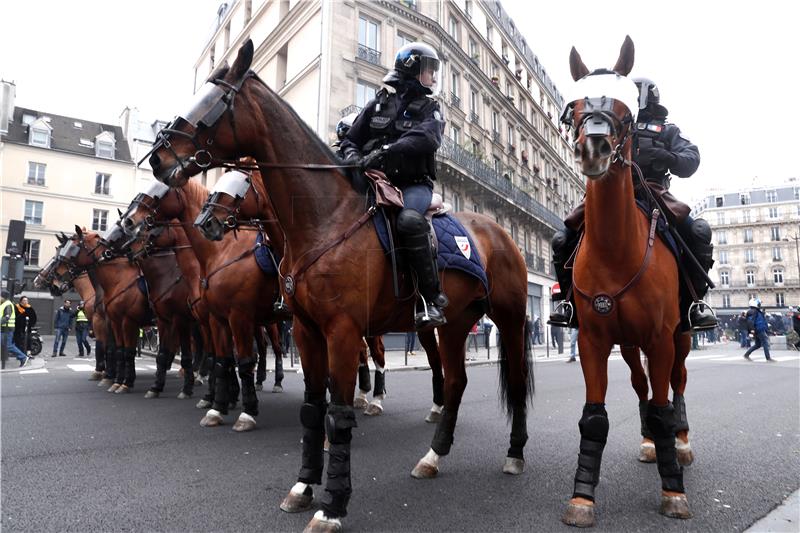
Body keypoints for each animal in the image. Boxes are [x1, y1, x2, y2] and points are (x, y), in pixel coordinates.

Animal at [122, 177, 288, 430]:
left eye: (161, 190)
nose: (129, 222)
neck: (221, 252)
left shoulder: (237, 316)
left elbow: (241, 361)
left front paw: (245, 411)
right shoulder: (212, 319)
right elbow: (219, 360)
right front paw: (217, 404)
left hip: (273, 323)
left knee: (277, 349)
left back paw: (277, 382)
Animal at [145, 39, 532, 528]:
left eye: (214, 102)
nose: (158, 157)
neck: (325, 219)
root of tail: (501, 231)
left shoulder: (343, 332)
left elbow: (340, 412)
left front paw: (332, 505)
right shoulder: (307, 331)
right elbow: (314, 409)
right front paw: (303, 487)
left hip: (510, 318)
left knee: (514, 380)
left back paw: (514, 453)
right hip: (455, 324)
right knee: (456, 381)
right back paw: (433, 456)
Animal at [556, 37, 692, 528]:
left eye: (627, 112)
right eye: (574, 106)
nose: (593, 148)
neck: (617, 250)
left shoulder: (661, 337)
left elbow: (664, 405)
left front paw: (673, 491)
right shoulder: (593, 340)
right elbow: (595, 417)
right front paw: (582, 498)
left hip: (681, 335)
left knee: (676, 383)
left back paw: (680, 443)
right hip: (629, 344)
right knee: (642, 385)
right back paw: (653, 442)